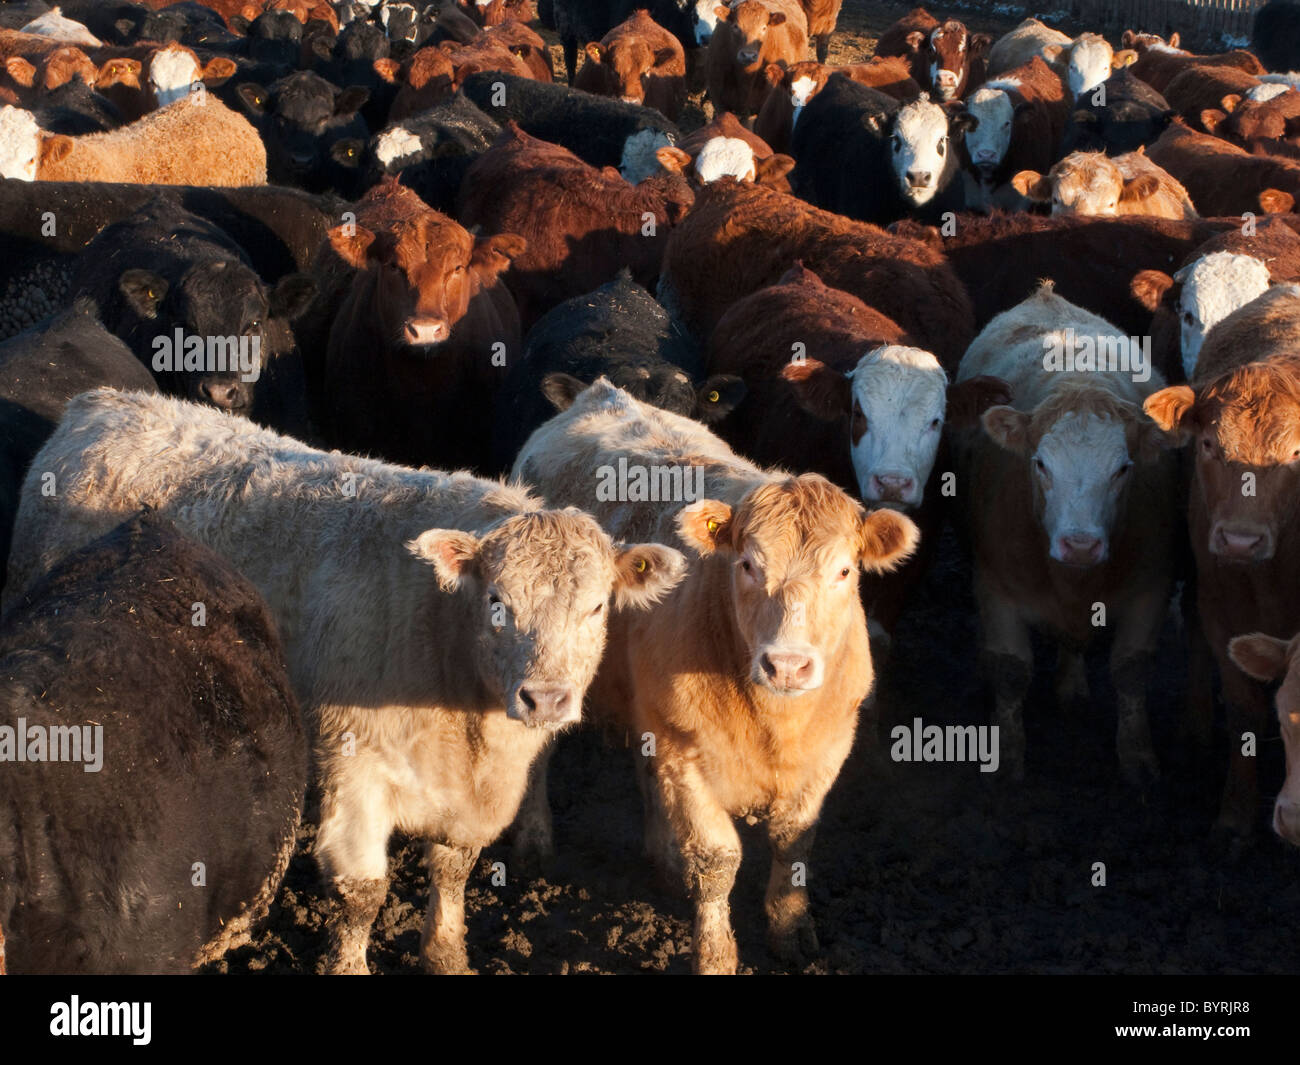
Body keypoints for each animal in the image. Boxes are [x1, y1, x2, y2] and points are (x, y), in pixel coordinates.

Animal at [510, 378, 919, 974]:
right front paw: (716, 954)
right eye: (747, 565)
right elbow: (716, 860)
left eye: (844, 571)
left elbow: (794, 842)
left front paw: (791, 931)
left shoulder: (827, 751)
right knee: (538, 755)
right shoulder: (686, 758)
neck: (773, 721)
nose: (787, 664)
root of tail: (601, 394)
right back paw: (535, 839)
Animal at [958, 281, 1176, 782]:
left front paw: (1137, 755)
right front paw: (1007, 755)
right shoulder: (996, 587)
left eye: (1123, 468)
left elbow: (1131, 670)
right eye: (1041, 464)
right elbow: (1011, 670)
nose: (1080, 544)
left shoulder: (1151, 588)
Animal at [1143, 285, 1300, 838]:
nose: (1239, 540)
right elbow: (1243, 711)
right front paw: (1235, 816)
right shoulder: (1223, 612)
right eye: (1210, 444)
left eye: (1297, 452)